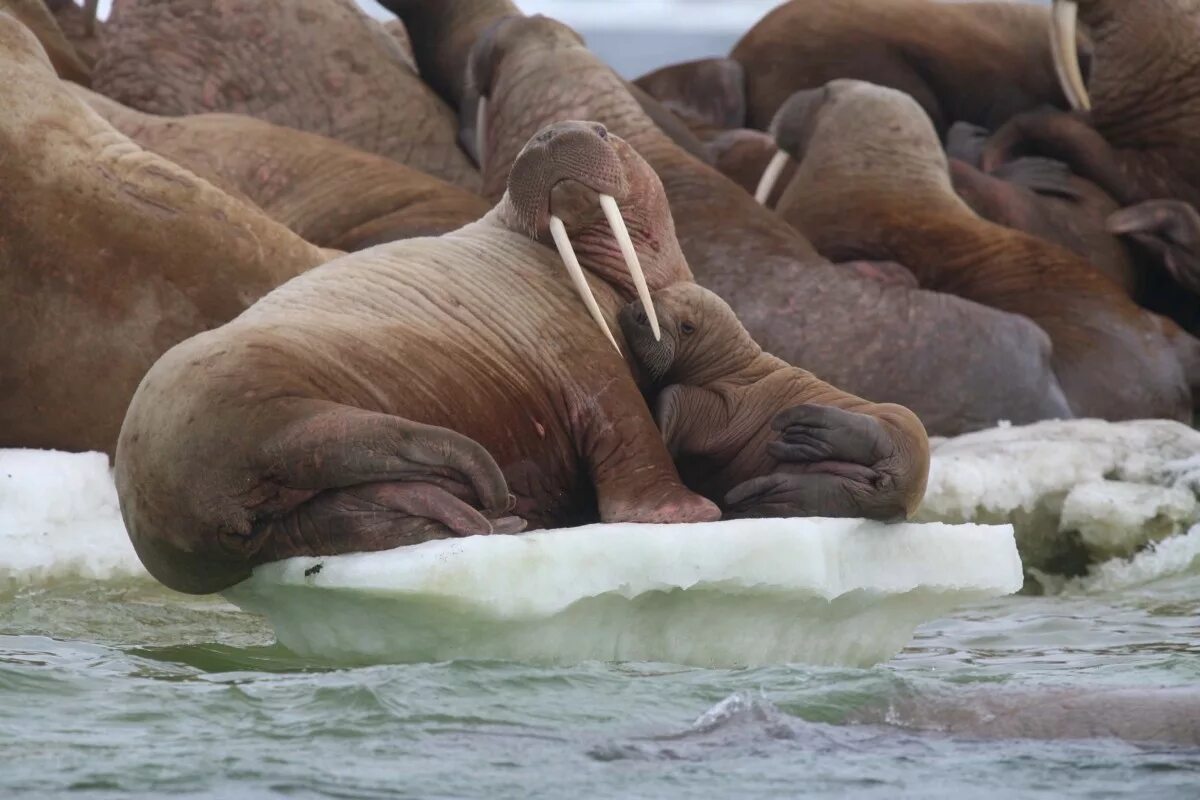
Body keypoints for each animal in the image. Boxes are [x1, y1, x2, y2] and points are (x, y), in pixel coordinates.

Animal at [119, 122, 720, 597]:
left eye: (601, 131)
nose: (551, 133)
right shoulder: (577, 348)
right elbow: (625, 424)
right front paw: (689, 513)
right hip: (259, 405)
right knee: (378, 444)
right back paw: (495, 501)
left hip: (252, 508)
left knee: (319, 516)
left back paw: (484, 516)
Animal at [624, 284, 931, 522]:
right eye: (654, 294)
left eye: (686, 326)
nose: (639, 314)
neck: (728, 365)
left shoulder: (735, 408)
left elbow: (682, 399)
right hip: (832, 489)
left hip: (905, 425)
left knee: (874, 433)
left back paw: (799, 428)